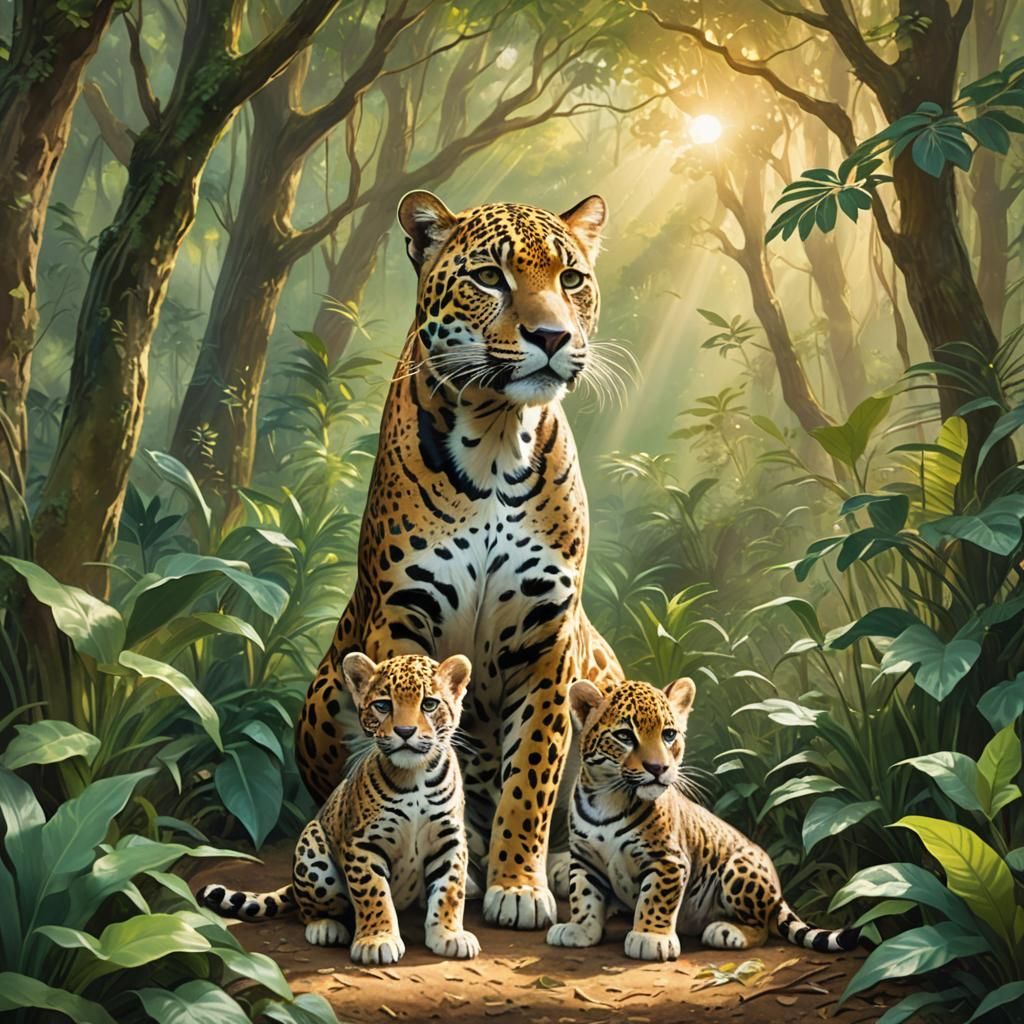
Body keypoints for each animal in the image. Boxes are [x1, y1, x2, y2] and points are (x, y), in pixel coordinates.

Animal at [199, 652, 479, 965]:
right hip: (313, 847)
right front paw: (377, 939)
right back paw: (325, 927)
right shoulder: (363, 843)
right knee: (308, 911)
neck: (414, 775)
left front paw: (449, 934)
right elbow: (374, 893)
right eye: (383, 705)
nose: (405, 732)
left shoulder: (449, 840)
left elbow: (450, 888)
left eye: (429, 704)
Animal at [294, 191, 623, 930]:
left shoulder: (549, 638)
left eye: (571, 279)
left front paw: (518, 885)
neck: (499, 437)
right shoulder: (401, 616)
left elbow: (531, 774)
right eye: (490, 278)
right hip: (324, 697)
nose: (552, 337)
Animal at [546, 678, 862, 961]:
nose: (658, 768)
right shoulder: (585, 857)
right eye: (624, 736)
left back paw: (726, 931)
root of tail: (777, 893)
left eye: (668, 735)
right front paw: (580, 929)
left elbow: (655, 899)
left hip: (738, 868)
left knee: (762, 927)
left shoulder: (669, 860)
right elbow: (584, 895)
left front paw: (650, 938)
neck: (609, 799)